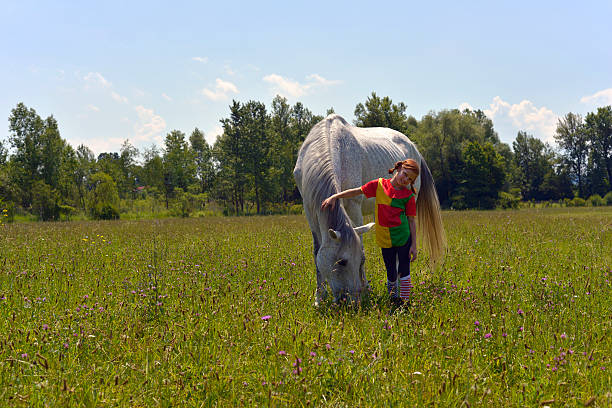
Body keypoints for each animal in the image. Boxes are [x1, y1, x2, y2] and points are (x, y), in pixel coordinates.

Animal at [292, 113, 444, 304]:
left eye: (359, 261)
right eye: (342, 262)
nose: (351, 301)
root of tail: (413, 146)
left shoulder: (353, 205)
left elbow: (361, 246)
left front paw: (366, 289)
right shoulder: (310, 211)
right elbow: (316, 252)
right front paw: (319, 298)